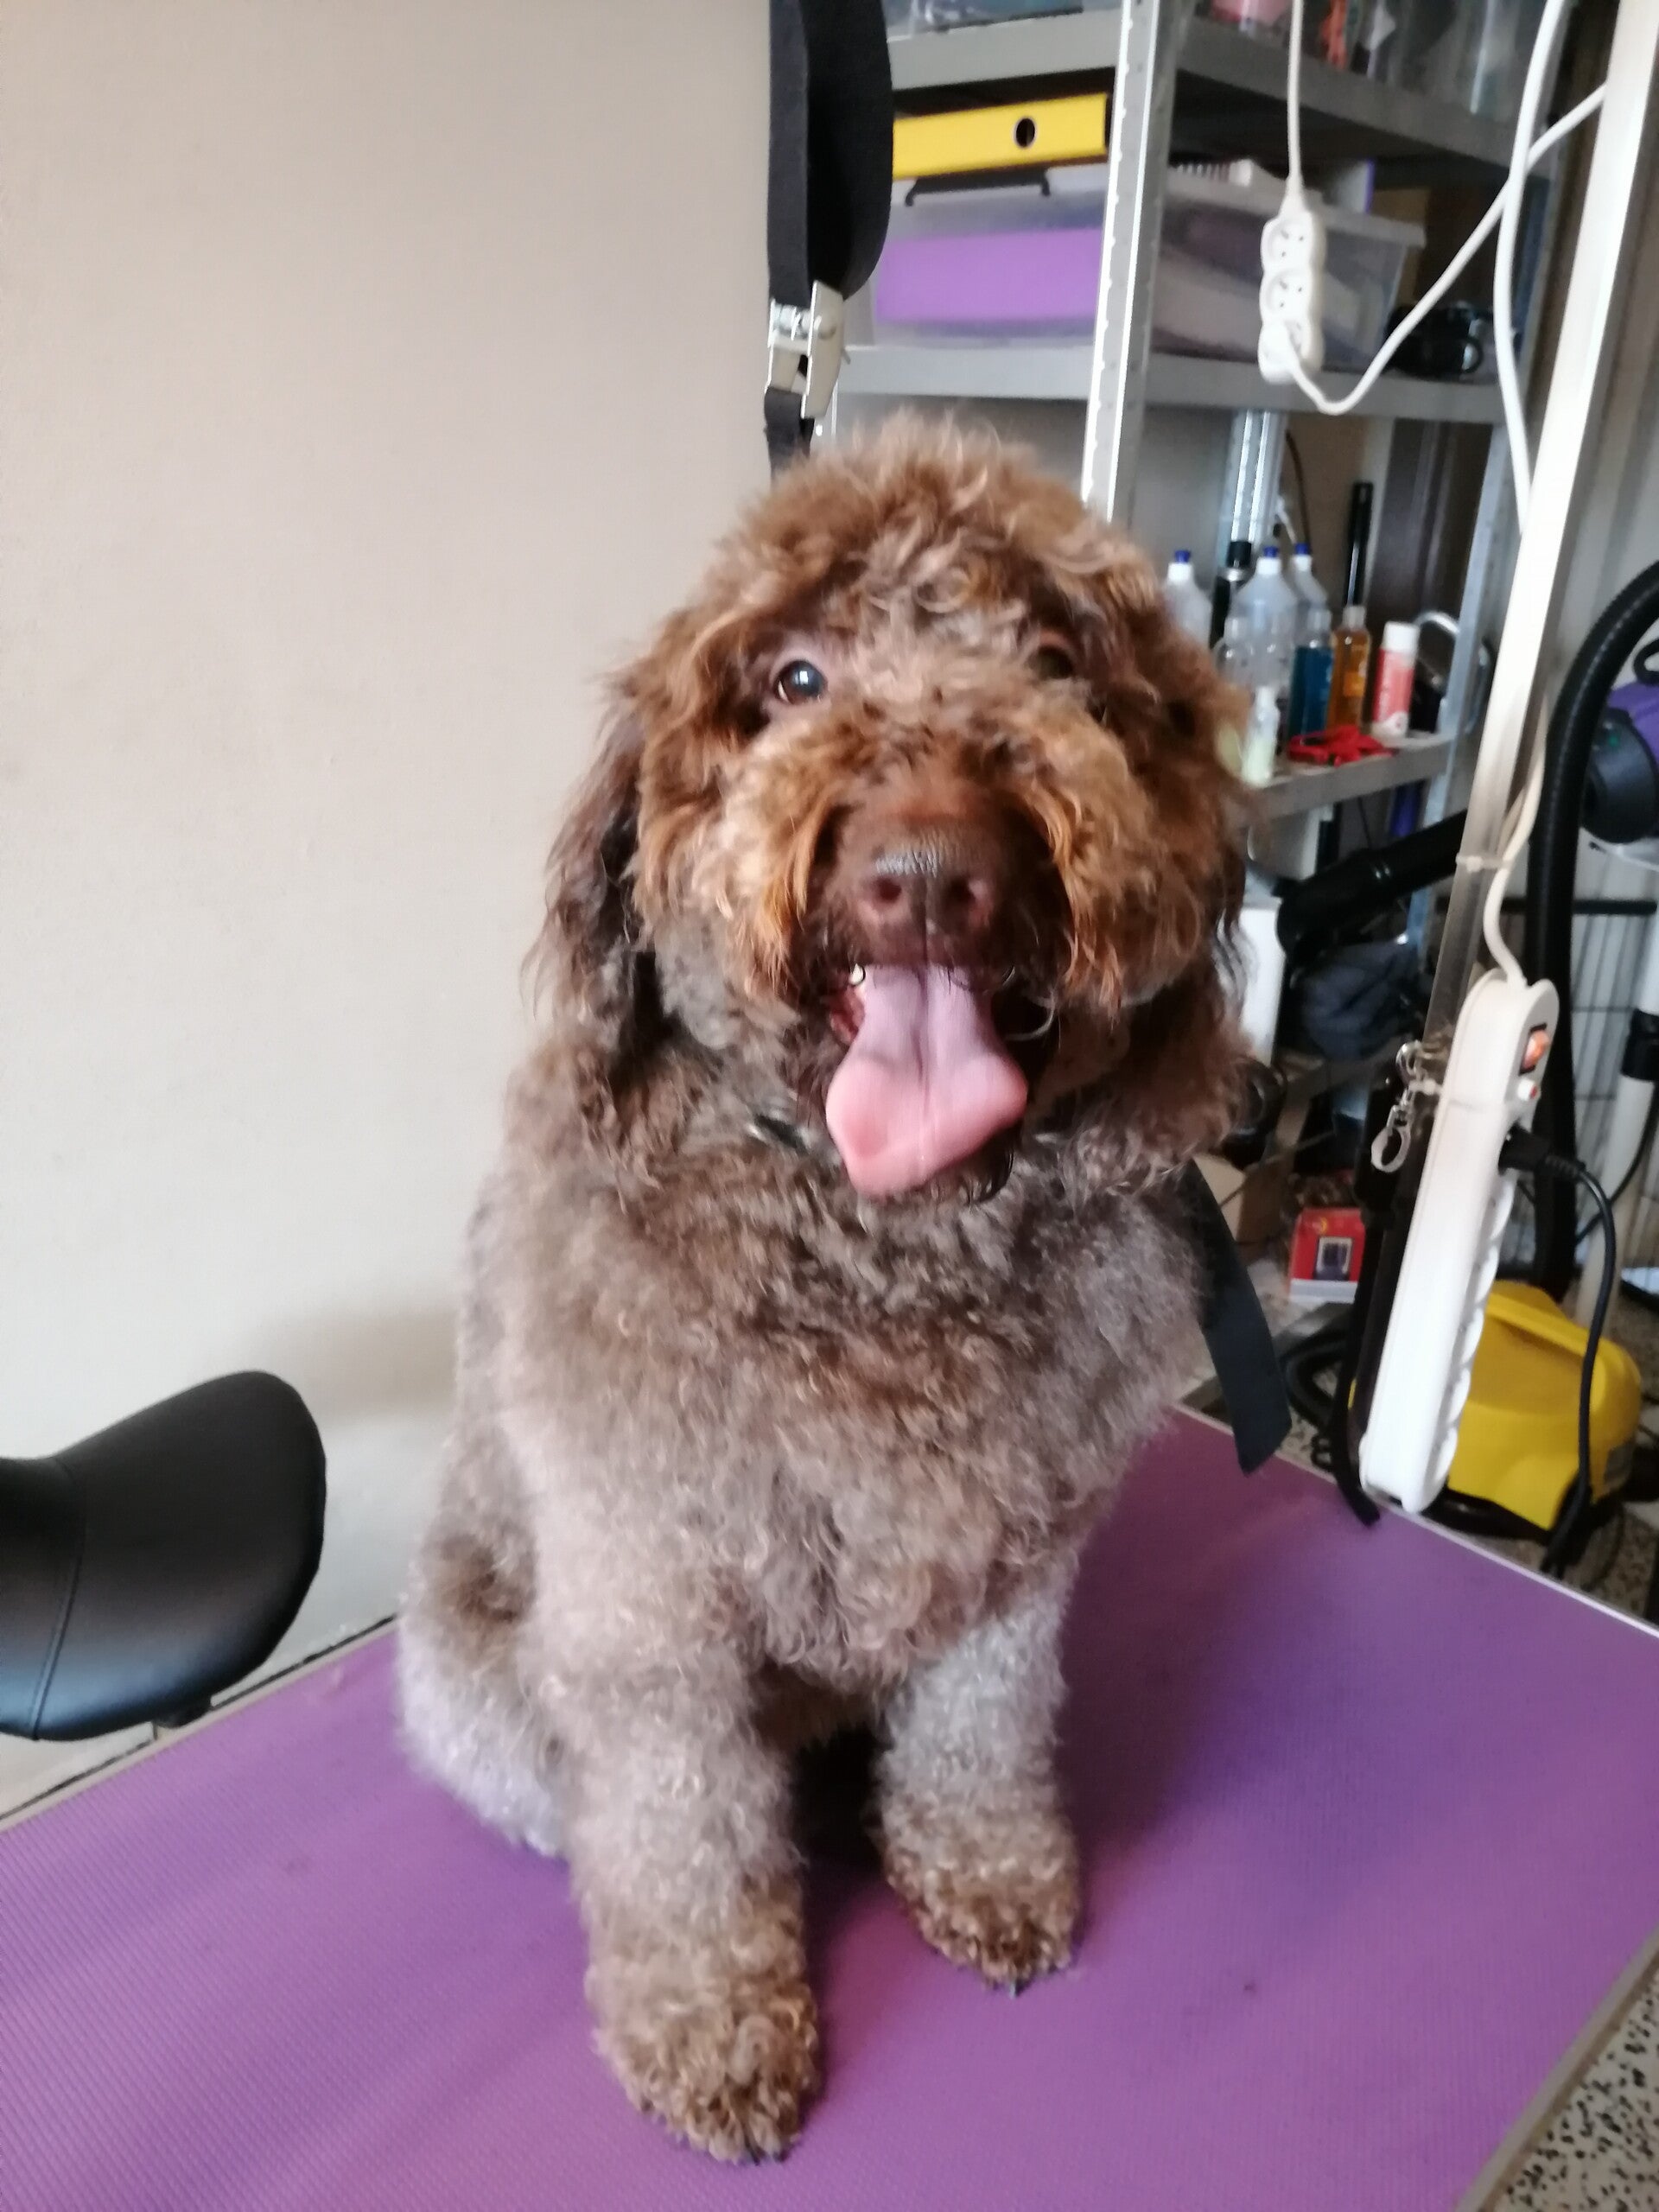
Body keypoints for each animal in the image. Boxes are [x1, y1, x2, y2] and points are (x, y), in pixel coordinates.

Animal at [398, 418, 1248, 2161]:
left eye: (1059, 665)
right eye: (792, 678)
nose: (930, 870)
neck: (880, 1236)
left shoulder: (1016, 1566)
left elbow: (984, 1735)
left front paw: (988, 1877)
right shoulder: (651, 1612)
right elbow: (678, 1844)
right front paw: (712, 2028)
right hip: (474, 1679)